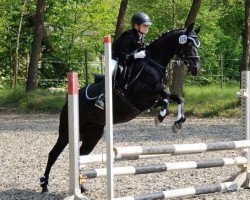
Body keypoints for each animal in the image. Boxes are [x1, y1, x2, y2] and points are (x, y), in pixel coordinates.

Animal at [40, 22, 201, 193]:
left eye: (198, 44)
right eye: (189, 44)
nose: (196, 68)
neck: (153, 64)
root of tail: (69, 100)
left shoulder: (152, 100)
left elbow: (177, 97)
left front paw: (178, 122)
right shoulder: (140, 95)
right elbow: (165, 93)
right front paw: (160, 116)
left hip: (94, 134)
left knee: (81, 156)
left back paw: (81, 187)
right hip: (66, 132)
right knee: (53, 154)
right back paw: (44, 185)